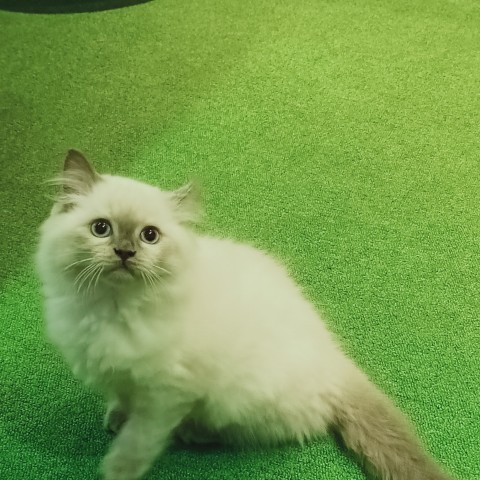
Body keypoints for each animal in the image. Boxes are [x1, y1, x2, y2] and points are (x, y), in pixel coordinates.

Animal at [36, 149, 455, 480]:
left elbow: (139, 439)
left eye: (149, 236)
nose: (125, 252)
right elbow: (122, 400)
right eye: (101, 229)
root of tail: (335, 361)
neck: (111, 308)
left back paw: (193, 433)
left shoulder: (167, 393)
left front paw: (117, 469)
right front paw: (115, 419)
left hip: (234, 399)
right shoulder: (119, 375)